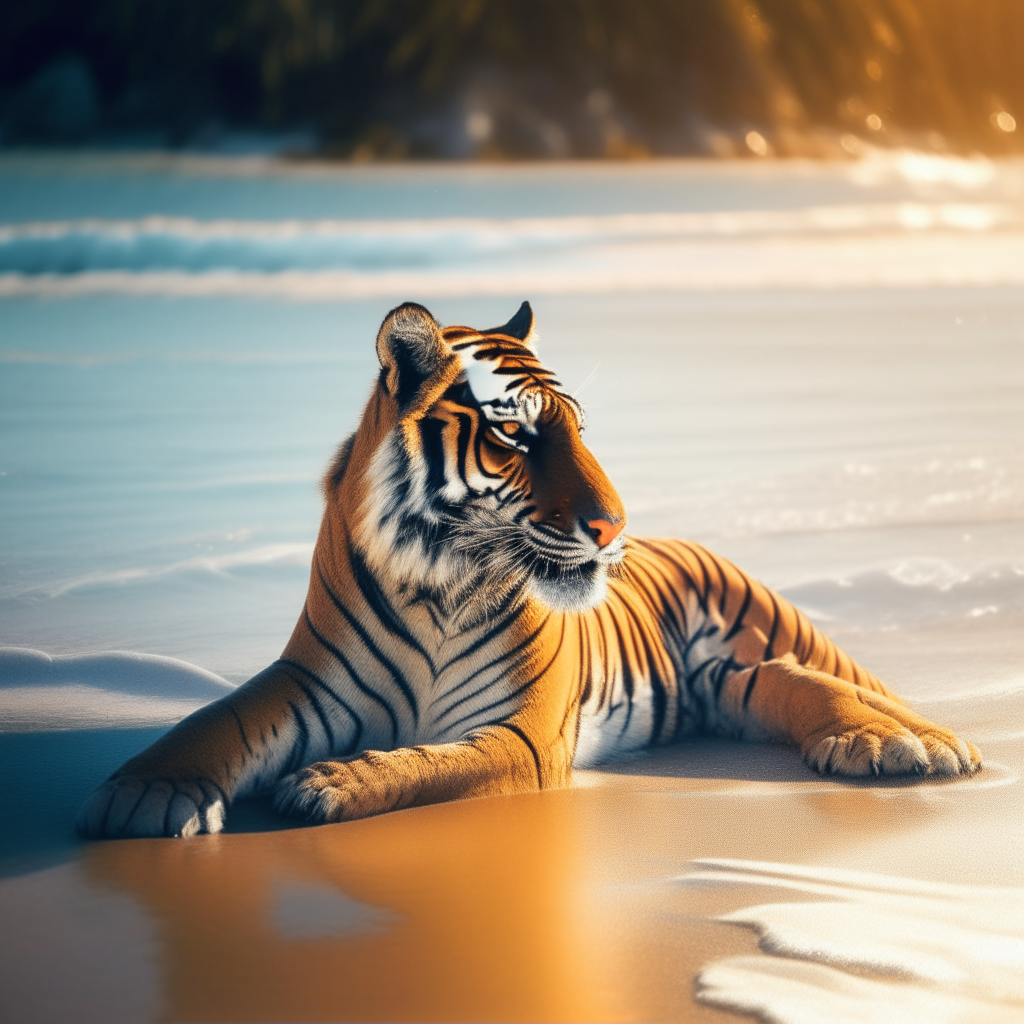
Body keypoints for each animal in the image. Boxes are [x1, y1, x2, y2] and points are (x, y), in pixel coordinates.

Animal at [77, 299, 974, 839]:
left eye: (577, 428)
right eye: (515, 434)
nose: (614, 527)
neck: (436, 578)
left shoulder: (524, 733)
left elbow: (430, 765)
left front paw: (326, 783)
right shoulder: (306, 683)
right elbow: (214, 721)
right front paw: (147, 794)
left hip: (767, 628)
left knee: (841, 681)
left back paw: (911, 744)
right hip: (728, 688)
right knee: (785, 683)